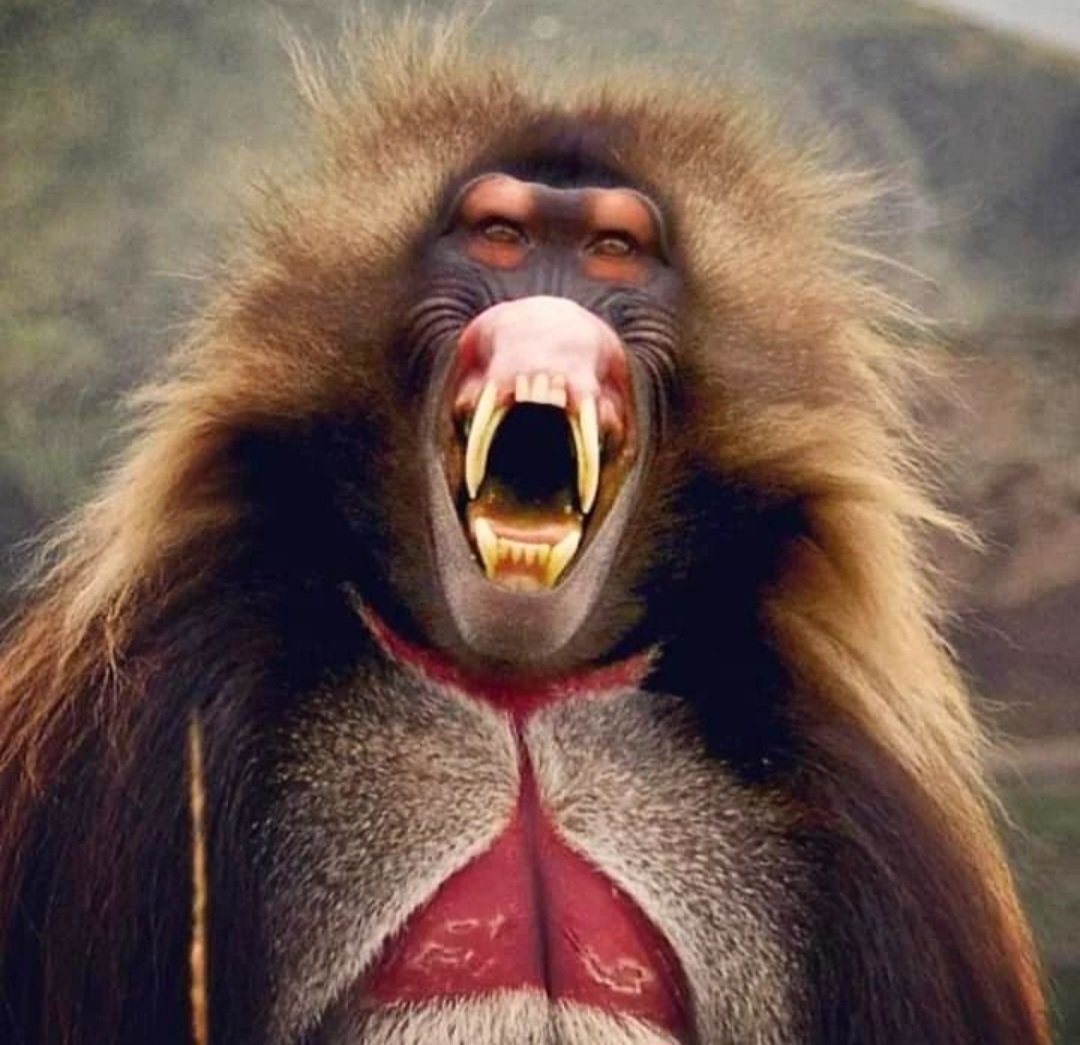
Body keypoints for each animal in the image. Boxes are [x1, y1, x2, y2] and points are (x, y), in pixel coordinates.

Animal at [0, 24, 1049, 1045]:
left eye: (611, 252)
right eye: (502, 238)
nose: (553, 308)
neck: (517, 700)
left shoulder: (874, 816)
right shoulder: (150, 719)